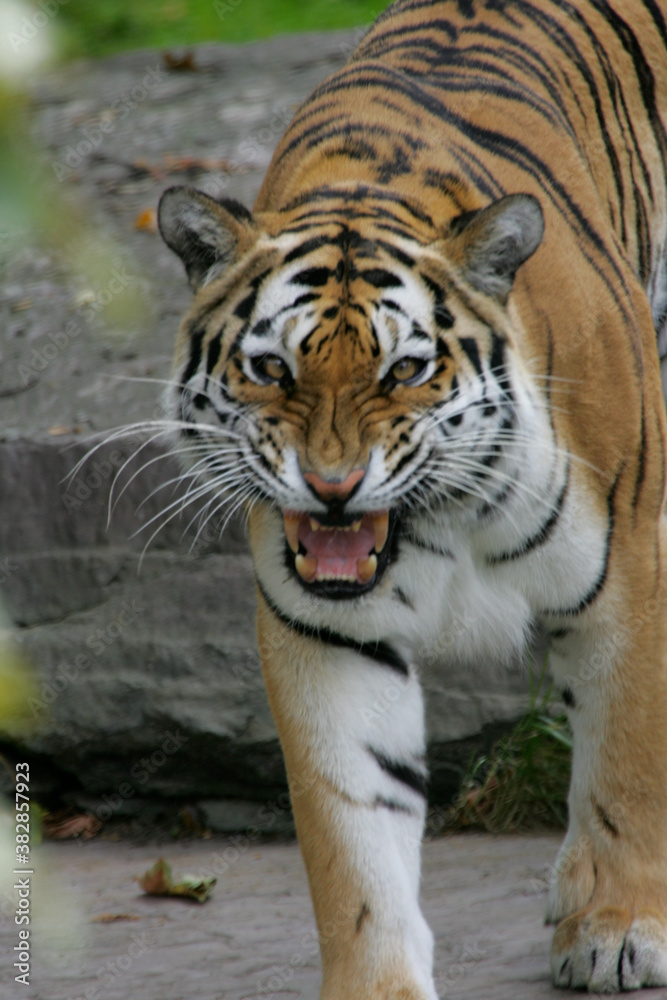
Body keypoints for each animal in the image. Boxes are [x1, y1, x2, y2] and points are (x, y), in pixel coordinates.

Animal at [155, 0, 667, 994]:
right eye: (271, 370)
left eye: (403, 372)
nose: (332, 488)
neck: (442, 517)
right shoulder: (326, 632)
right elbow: (353, 842)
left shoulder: (629, 571)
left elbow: (625, 765)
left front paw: (619, 931)